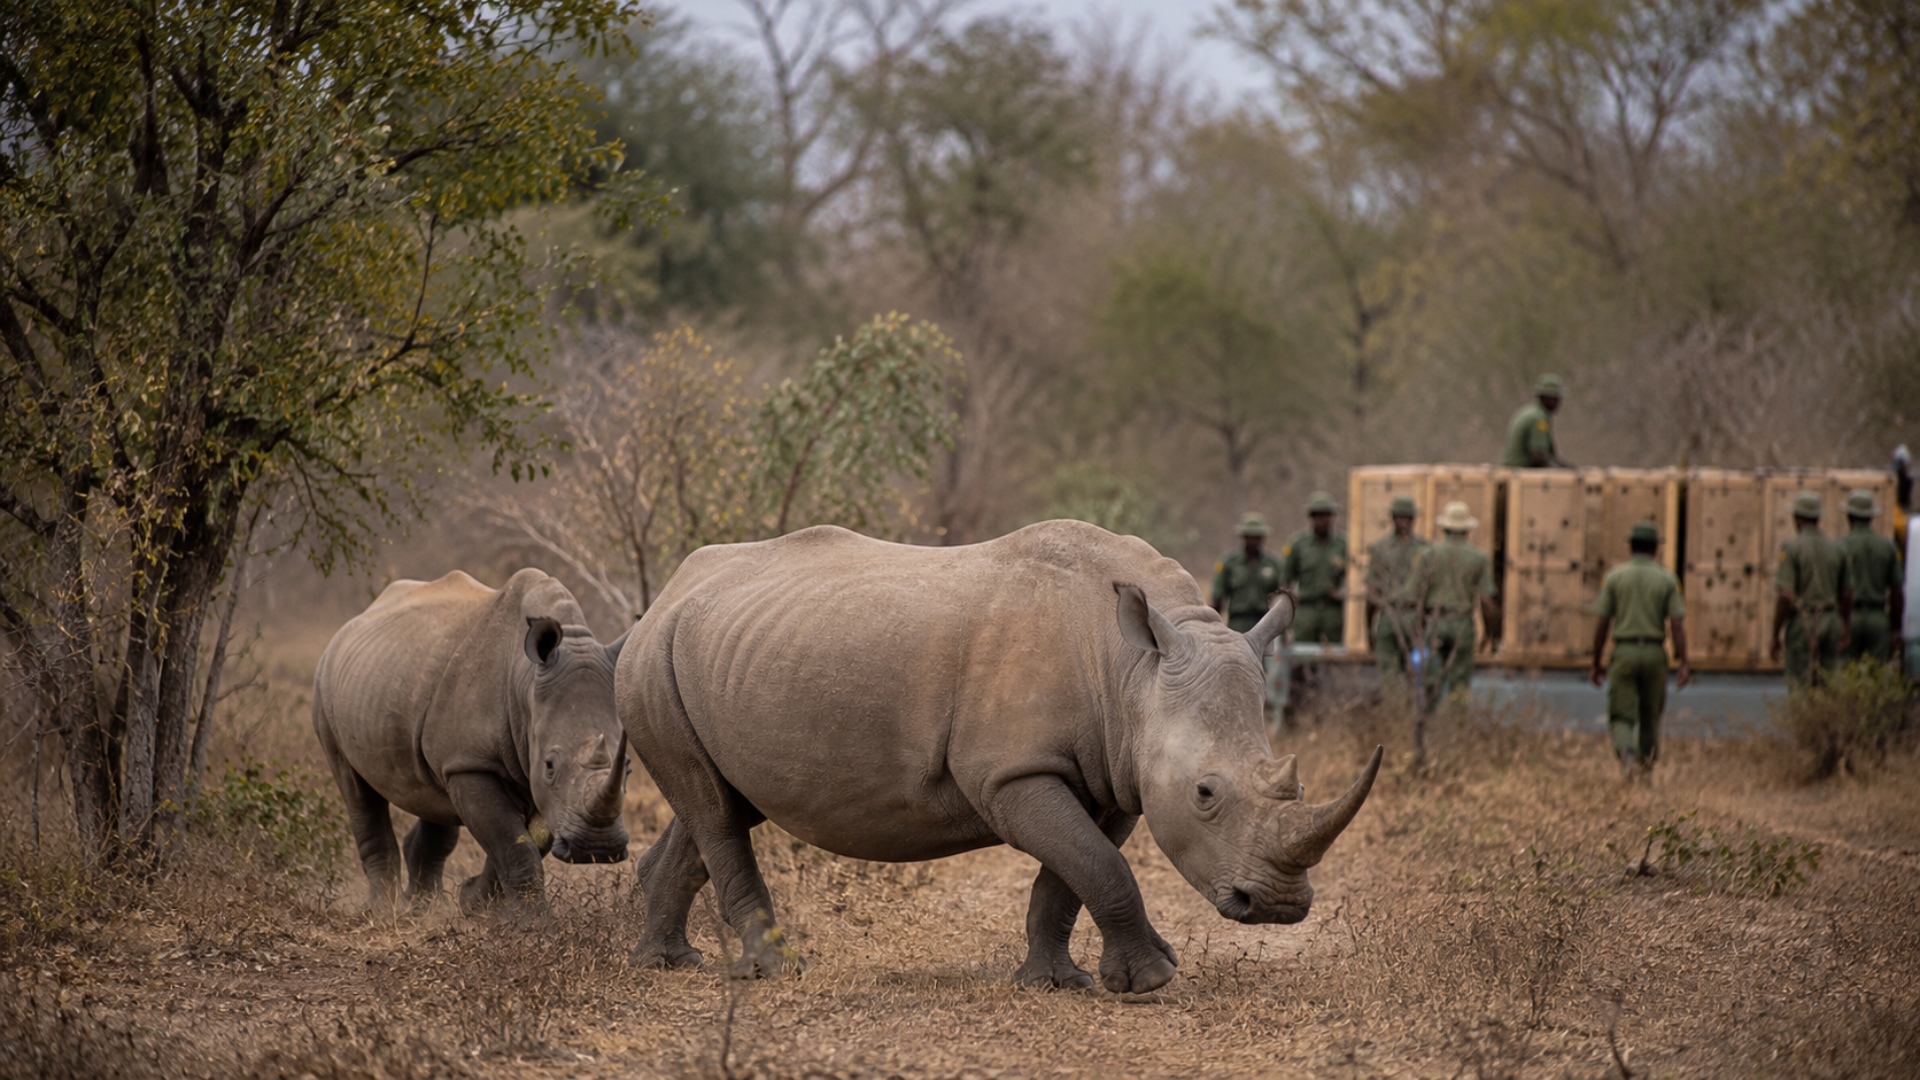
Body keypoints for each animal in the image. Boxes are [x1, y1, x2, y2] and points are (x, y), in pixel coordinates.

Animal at [314, 569, 631, 918]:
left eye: (628, 768)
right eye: (550, 765)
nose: (597, 848)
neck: (524, 683)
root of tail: (350, 625)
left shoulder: (519, 770)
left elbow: (520, 841)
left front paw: (472, 903)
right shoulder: (472, 763)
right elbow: (511, 841)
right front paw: (530, 923)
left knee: (433, 797)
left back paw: (426, 907)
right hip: (324, 685)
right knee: (357, 790)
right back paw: (385, 910)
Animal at [616, 521, 1381, 993]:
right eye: (1205, 794)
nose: (1278, 907)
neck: (1132, 671)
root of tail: (665, 595)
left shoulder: (1114, 774)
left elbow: (1071, 874)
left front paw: (1058, 982)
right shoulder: (1012, 773)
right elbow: (1097, 866)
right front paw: (1152, 981)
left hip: (717, 654)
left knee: (717, 803)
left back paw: (666, 962)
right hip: (652, 660)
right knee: (715, 812)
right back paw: (777, 969)